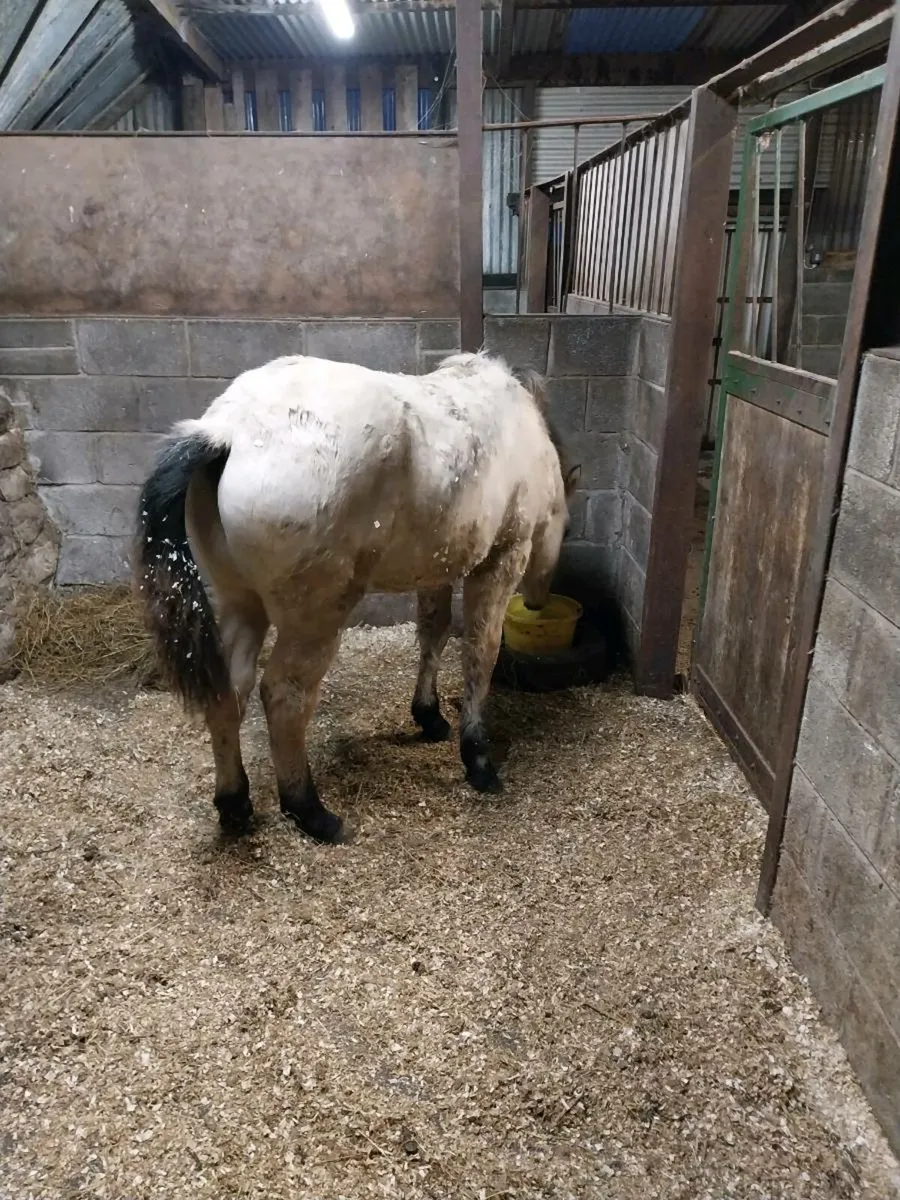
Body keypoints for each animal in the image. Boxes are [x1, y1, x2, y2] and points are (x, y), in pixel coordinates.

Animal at [135, 351, 579, 844]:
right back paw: (309, 810)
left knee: (229, 692)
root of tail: (227, 429)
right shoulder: (501, 561)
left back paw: (234, 803)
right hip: (316, 618)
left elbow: (434, 633)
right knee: (284, 696)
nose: (538, 600)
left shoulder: (438, 567)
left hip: (241, 603)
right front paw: (477, 757)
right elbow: (481, 652)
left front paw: (429, 716)